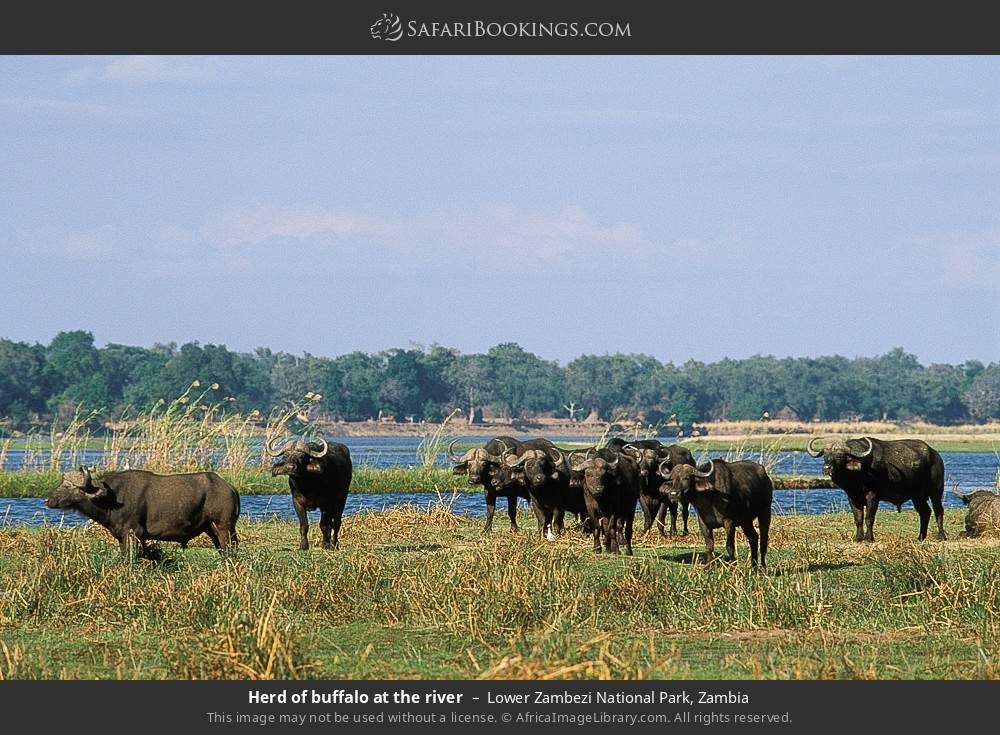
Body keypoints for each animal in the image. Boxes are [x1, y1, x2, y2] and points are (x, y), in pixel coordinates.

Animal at [45, 468, 240, 556]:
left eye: (68, 486)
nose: (48, 500)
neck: (112, 498)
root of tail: (229, 488)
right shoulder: (123, 536)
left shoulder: (133, 534)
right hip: (211, 528)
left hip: (224, 526)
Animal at [804, 436, 944, 540]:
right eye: (825, 456)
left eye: (839, 456)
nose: (826, 468)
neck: (857, 475)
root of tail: (935, 454)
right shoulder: (852, 497)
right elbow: (858, 518)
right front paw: (858, 538)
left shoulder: (873, 496)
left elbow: (869, 518)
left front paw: (869, 538)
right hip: (917, 496)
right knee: (925, 512)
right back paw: (921, 537)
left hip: (936, 491)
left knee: (938, 510)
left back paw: (941, 536)